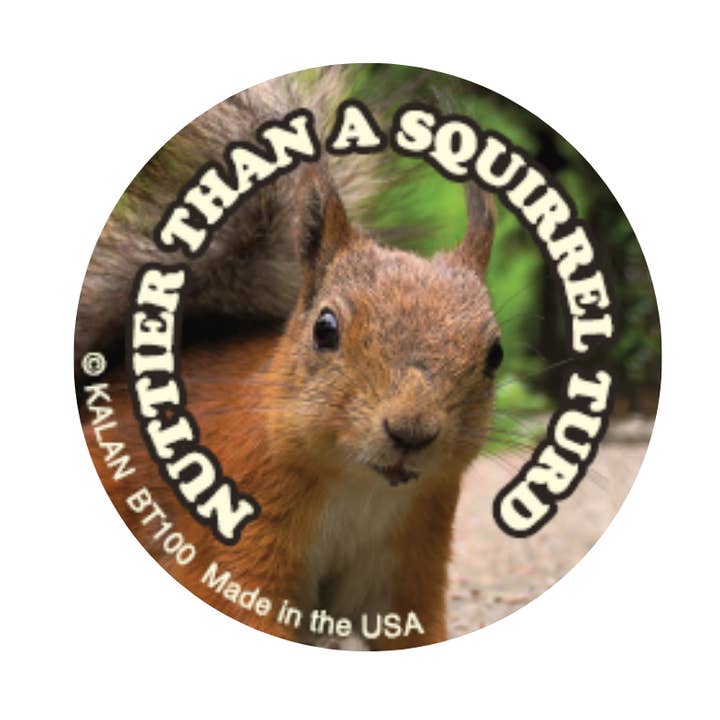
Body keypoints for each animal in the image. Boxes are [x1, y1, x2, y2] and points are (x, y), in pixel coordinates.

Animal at [78, 66, 503, 650]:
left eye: (495, 354)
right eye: (325, 329)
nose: (411, 433)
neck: (359, 487)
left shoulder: (409, 557)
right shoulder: (247, 533)